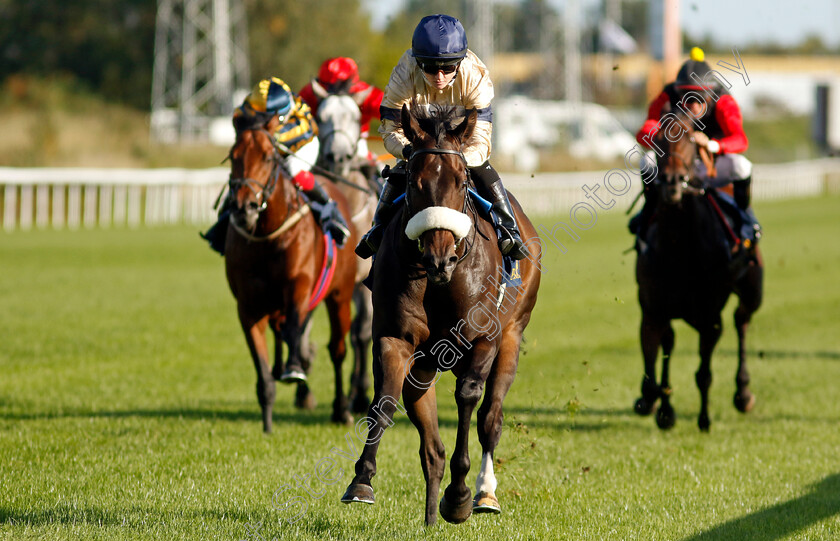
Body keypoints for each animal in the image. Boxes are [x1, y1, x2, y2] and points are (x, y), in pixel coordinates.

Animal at [226, 112, 360, 432]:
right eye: (233, 156)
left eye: (268, 157)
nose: (245, 208)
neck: (267, 236)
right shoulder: (248, 308)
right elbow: (263, 372)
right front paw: (267, 423)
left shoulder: (300, 285)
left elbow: (295, 328)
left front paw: (296, 367)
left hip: (340, 295)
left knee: (337, 349)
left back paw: (341, 409)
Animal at [342, 103, 544, 524]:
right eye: (413, 181)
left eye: (461, 180)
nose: (440, 258)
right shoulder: (396, 339)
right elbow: (383, 405)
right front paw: (361, 482)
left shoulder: (484, 338)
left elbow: (468, 399)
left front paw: (460, 494)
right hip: (424, 366)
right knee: (430, 447)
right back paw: (431, 516)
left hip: (513, 335)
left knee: (490, 419)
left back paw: (484, 494)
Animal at [632, 108, 764, 430]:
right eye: (659, 140)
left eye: (691, 139)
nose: (673, 181)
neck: (679, 248)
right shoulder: (653, 309)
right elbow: (652, 372)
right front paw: (656, 407)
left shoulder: (710, 318)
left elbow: (703, 373)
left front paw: (704, 419)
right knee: (671, 341)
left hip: (752, 291)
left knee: (742, 321)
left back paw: (743, 393)